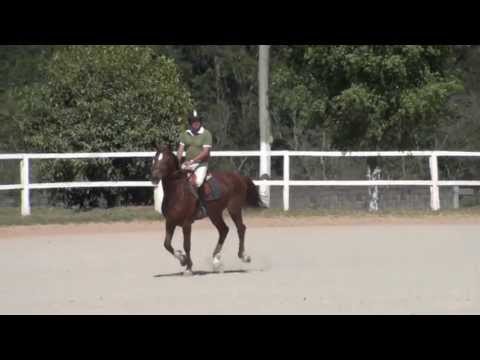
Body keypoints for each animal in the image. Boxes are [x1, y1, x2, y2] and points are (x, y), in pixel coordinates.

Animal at [150, 143, 264, 276]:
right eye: (154, 159)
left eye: (166, 160)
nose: (154, 178)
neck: (178, 192)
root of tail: (238, 176)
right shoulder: (170, 222)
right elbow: (167, 244)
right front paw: (183, 260)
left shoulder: (186, 223)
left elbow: (186, 245)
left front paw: (188, 268)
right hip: (214, 213)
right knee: (224, 230)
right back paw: (216, 260)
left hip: (234, 209)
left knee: (241, 228)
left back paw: (244, 256)